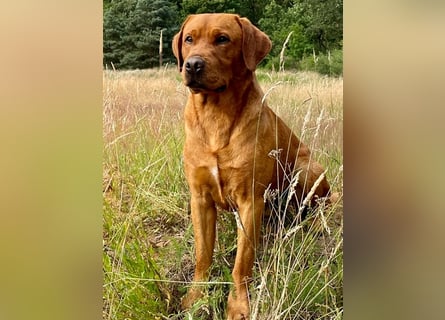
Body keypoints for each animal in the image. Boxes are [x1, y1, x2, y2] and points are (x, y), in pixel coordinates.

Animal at [173, 13, 330, 318]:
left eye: (222, 39)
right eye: (189, 39)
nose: (193, 65)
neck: (216, 115)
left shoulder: (250, 201)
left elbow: (242, 262)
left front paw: (238, 304)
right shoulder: (199, 198)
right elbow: (202, 254)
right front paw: (196, 297)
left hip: (305, 169)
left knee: (323, 202)